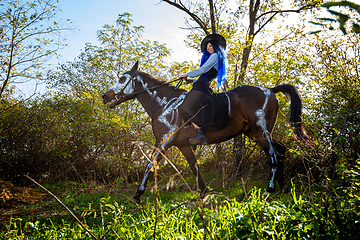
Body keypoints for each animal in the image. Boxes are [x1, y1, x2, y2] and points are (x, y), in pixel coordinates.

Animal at [102, 61, 312, 202]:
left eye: (122, 78)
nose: (105, 96)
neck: (164, 104)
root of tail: (269, 90)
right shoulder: (183, 144)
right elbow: (194, 167)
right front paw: (204, 192)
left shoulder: (163, 140)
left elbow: (149, 165)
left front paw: (137, 195)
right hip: (255, 133)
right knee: (281, 149)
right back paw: (283, 186)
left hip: (260, 131)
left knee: (273, 155)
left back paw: (270, 189)